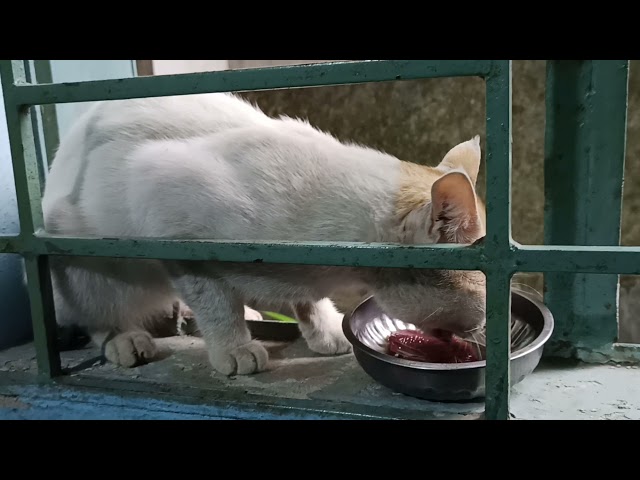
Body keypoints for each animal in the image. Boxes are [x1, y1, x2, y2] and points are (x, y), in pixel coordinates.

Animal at [42, 92, 488, 376]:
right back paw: (124, 338)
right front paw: (233, 347)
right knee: (93, 313)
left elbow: (306, 299)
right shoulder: (168, 217)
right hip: (82, 258)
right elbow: (216, 302)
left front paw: (324, 329)